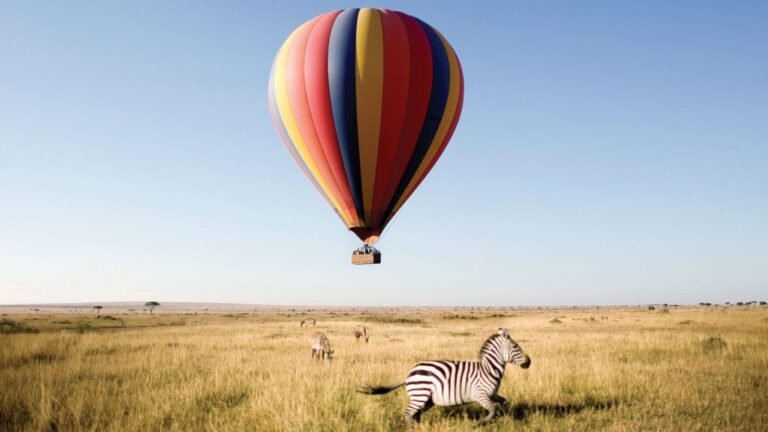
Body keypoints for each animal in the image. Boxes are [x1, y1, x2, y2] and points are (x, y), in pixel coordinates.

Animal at [358, 328, 530, 430]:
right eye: (515, 347)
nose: (529, 362)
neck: (488, 369)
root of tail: (409, 374)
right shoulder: (479, 394)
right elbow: (493, 409)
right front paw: (477, 424)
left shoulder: (491, 394)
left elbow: (502, 403)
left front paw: (502, 417)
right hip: (420, 396)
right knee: (408, 413)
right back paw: (413, 429)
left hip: (427, 399)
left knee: (416, 414)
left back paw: (421, 428)